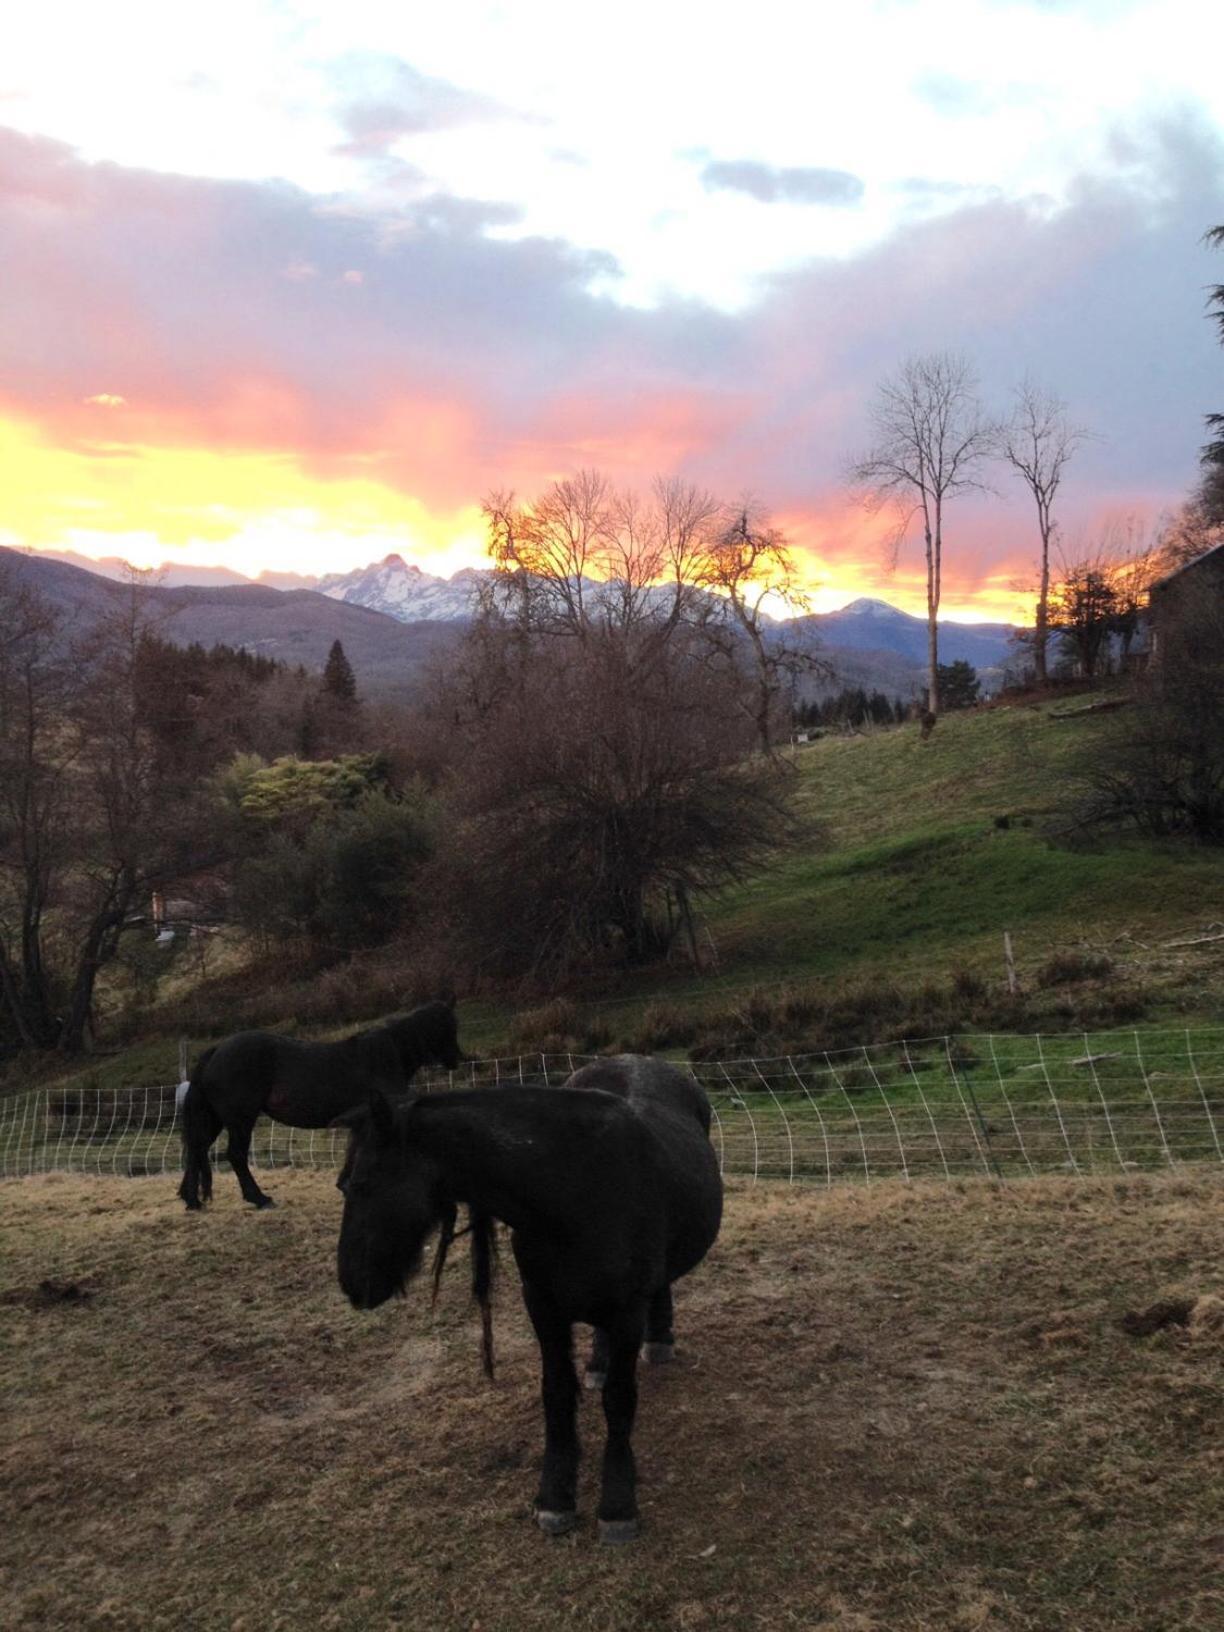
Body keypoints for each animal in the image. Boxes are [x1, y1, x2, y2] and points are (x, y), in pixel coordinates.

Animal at [181, 992, 463, 1214]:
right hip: (241, 1119)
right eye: (448, 1026)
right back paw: (259, 1198)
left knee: (196, 1149)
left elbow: (353, 1148)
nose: (457, 1060)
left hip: (215, 1118)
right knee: (236, 1155)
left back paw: (191, 1200)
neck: (386, 1055)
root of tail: (217, 1050)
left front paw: (345, 1185)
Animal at [331, 1057, 724, 1540]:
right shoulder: (542, 1305)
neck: (577, 1190)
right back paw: (598, 1362)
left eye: (362, 1184)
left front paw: (617, 1504)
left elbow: (619, 1400)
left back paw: (660, 1341)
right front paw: (555, 1497)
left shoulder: (627, 1310)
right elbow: (556, 1394)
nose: (352, 1283)